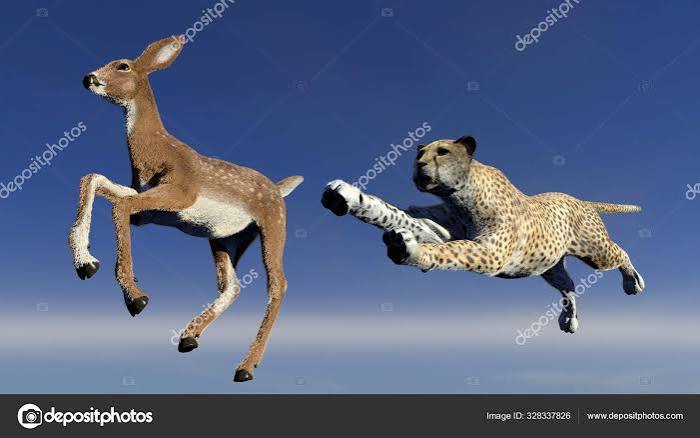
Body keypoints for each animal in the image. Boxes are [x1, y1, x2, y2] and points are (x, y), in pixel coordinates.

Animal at [69, 36, 303, 382]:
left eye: (122, 65)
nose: (89, 78)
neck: (156, 152)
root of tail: (279, 188)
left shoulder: (179, 194)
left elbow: (120, 205)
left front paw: (135, 297)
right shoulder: (147, 212)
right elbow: (93, 179)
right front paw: (85, 263)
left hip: (273, 225)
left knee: (278, 285)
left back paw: (245, 367)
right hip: (225, 238)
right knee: (231, 286)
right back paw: (189, 337)